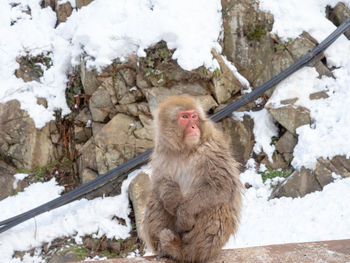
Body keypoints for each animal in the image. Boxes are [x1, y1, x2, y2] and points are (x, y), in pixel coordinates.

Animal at [141, 96, 242, 262]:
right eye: (184, 117)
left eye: (194, 116)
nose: (194, 126)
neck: (185, 150)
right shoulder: (161, 152)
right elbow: (161, 181)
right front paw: (171, 201)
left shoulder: (212, 149)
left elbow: (222, 185)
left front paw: (184, 215)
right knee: (155, 199)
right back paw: (166, 249)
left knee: (218, 205)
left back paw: (184, 251)